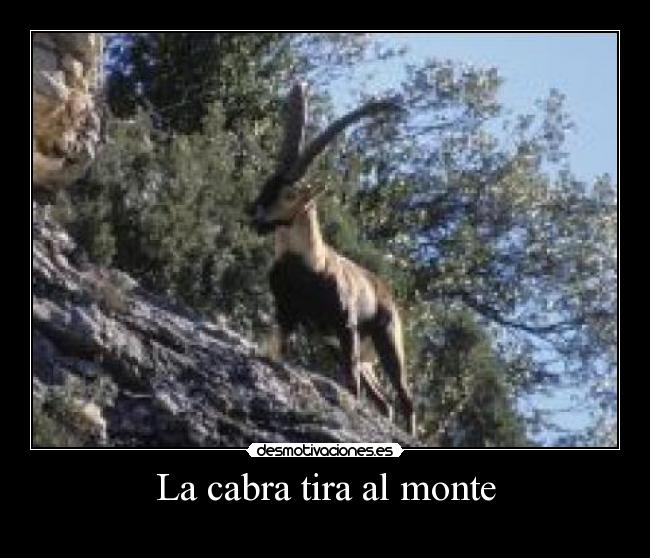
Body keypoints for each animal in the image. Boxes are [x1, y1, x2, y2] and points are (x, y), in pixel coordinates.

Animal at [247, 83, 415, 435]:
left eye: (289, 194)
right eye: (267, 182)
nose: (256, 216)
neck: (307, 267)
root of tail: (387, 291)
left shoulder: (345, 324)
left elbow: (350, 386)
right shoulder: (286, 314)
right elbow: (278, 352)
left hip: (386, 340)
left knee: (404, 398)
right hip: (347, 352)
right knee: (384, 402)